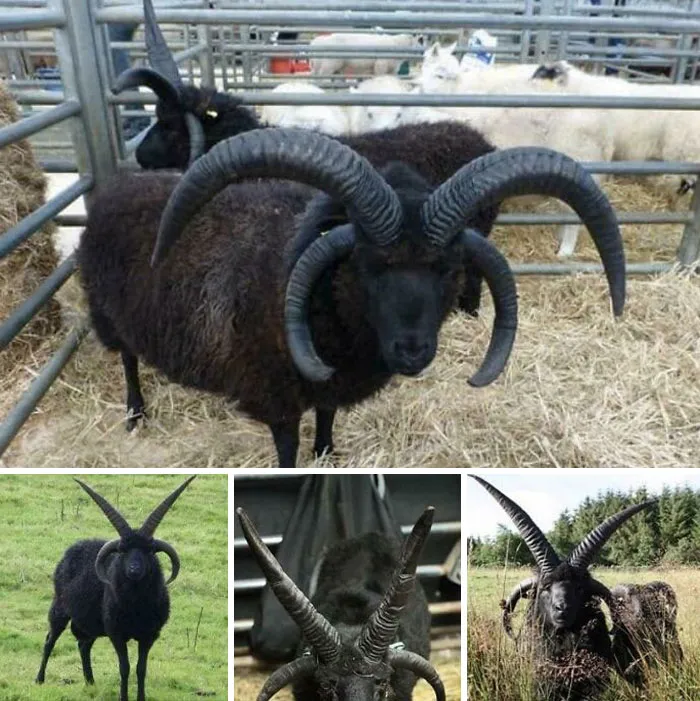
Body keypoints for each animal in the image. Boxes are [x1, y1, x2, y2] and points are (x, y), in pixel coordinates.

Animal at [36, 476, 196, 701]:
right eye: (122, 551)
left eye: (149, 551)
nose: (134, 569)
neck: (137, 606)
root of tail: (70, 551)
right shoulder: (116, 634)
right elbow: (125, 668)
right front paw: (124, 697)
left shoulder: (149, 635)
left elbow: (141, 669)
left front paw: (141, 697)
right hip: (60, 608)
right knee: (50, 640)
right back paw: (39, 679)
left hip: (91, 622)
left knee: (83, 645)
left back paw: (90, 682)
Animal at [77, 127, 625, 467]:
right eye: (367, 264)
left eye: (447, 268)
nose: (412, 351)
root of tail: (116, 187)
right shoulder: (275, 394)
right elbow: (287, 450)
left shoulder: (330, 385)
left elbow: (326, 420)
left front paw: (327, 455)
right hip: (106, 313)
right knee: (127, 359)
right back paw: (136, 413)